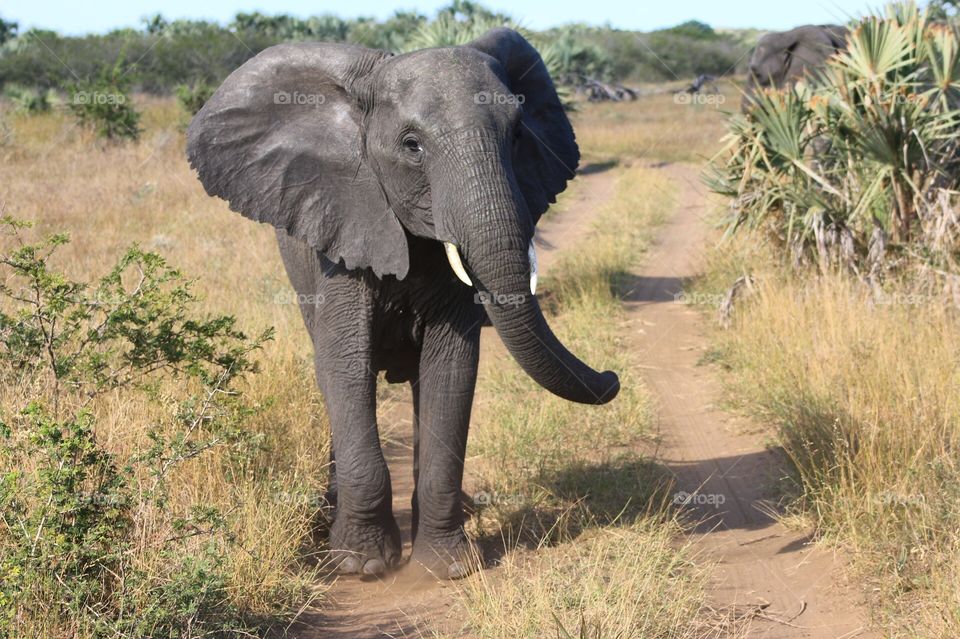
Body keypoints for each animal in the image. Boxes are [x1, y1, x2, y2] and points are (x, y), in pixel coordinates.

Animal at [186, 28, 620, 580]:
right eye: (412, 146)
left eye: (518, 135)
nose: (612, 377)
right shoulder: (341, 231)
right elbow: (344, 364)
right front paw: (363, 564)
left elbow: (451, 369)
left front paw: (447, 568)